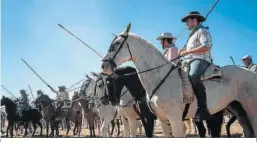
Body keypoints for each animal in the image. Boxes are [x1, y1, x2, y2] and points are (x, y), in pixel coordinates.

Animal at [99, 23, 256, 137]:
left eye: (116, 44)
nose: (103, 65)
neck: (159, 79)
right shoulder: (162, 120)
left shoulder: (172, 119)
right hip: (237, 110)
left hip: (250, 111)